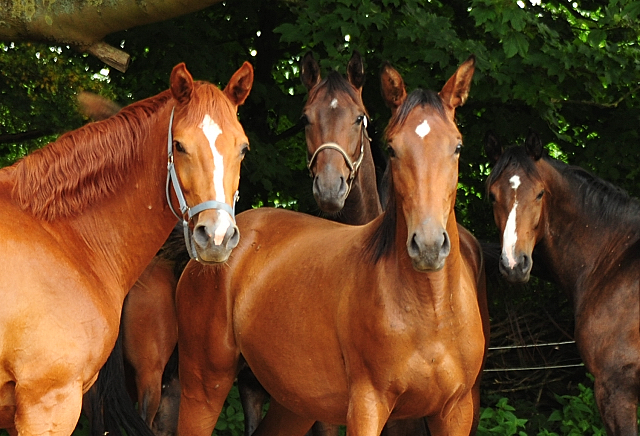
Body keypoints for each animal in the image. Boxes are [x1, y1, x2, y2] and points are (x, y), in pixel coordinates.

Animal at [178, 56, 488, 436]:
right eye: (392, 148)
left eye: (457, 147)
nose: (428, 244)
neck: (432, 309)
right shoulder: (367, 407)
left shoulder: (455, 412)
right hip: (204, 386)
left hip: (293, 403)